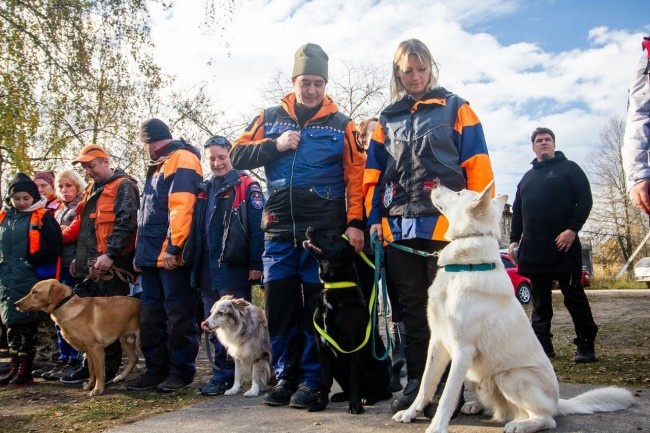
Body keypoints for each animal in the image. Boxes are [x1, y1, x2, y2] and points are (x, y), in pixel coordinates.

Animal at [300, 226, 388, 412]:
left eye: (333, 237)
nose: (309, 228)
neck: (335, 288)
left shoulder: (355, 346)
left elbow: (354, 379)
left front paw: (355, 405)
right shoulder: (322, 349)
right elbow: (324, 380)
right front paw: (320, 403)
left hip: (374, 373)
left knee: (384, 392)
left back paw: (367, 398)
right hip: (338, 369)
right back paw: (341, 396)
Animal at [390, 181, 632, 432]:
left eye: (458, 193)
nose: (434, 184)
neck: (465, 267)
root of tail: (557, 401)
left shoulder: (462, 350)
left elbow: (447, 395)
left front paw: (437, 427)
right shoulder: (437, 342)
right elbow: (426, 385)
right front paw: (410, 413)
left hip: (510, 377)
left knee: (547, 418)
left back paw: (521, 424)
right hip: (476, 376)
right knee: (499, 407)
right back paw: (475, 406)